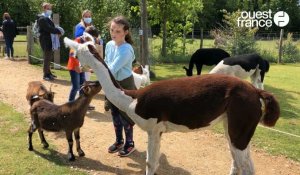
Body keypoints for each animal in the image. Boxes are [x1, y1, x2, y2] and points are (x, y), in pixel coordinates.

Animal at [63, 37, 282, 175]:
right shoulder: (158, 130)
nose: (76, 66)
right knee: (239, 163)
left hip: (241, 122)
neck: (132, 99)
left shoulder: (153, 127)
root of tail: (255, 93)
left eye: (77, 53)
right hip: (233, 123)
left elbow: (150, 163)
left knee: (246, 166)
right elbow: (154, 162)